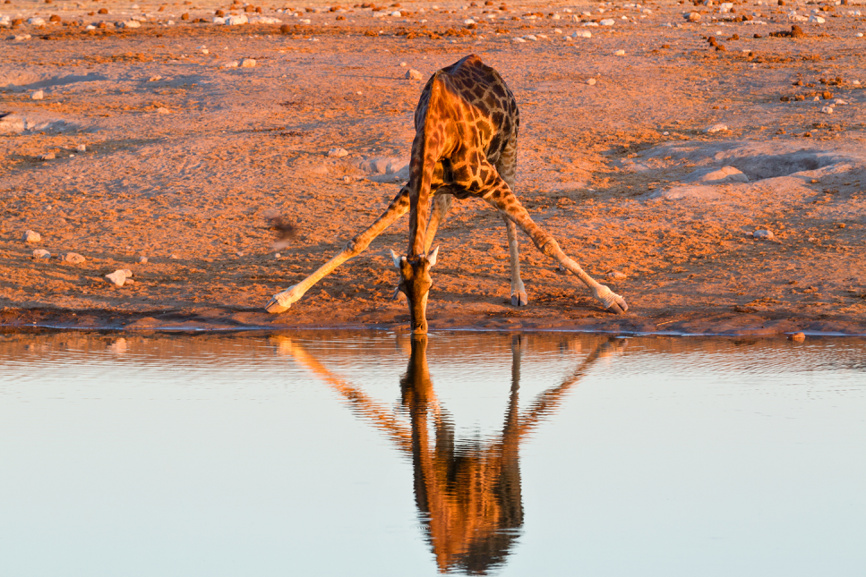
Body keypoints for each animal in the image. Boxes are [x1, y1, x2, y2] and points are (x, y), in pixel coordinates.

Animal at [266, 54, 628, 333]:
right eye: (410, 288)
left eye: (431, 287)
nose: (419, 328)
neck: (437, 133)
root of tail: (484, 64)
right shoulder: (414, 185)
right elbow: (359, 241)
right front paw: (282, 298)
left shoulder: (490, 181)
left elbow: (544, 240)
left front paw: (611, 298)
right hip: (447, 187)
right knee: (439, 214)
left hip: (509, 149)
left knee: (508, 221)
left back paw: (518, 291)